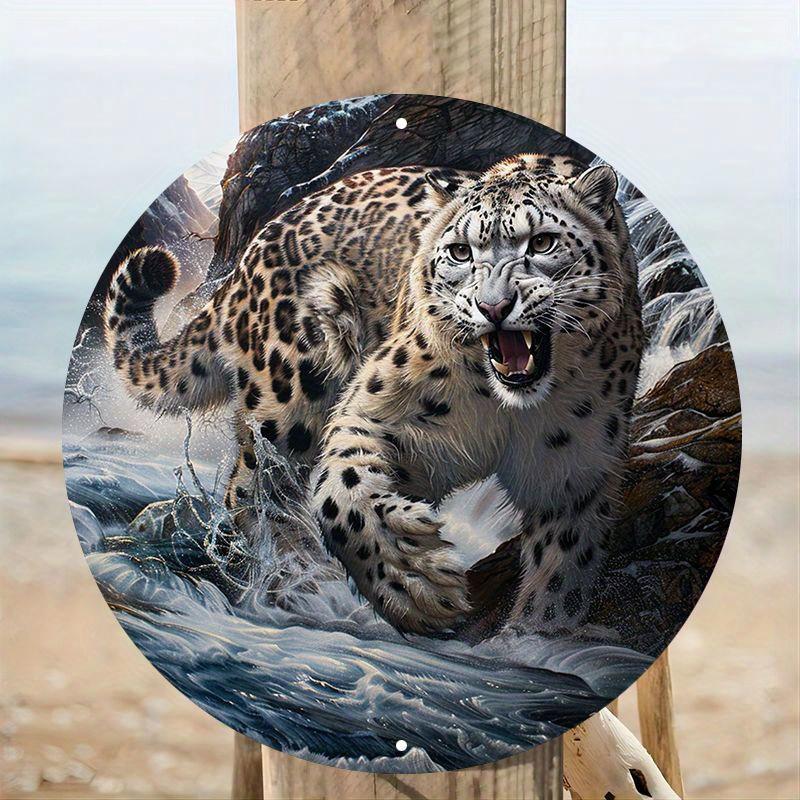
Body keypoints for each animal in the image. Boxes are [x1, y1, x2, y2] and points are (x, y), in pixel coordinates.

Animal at [104, 154, 643, 637]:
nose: (493, 306)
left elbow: (562, 570)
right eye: (461, 252)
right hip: (290, 396)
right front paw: (417, 585)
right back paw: (301, 582)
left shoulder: (572, 473)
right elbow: (342, 489)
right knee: (253, 489)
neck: (507, 411)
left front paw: (534, 635)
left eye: (543, 242)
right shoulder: (378, 408)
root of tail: (248, 256)